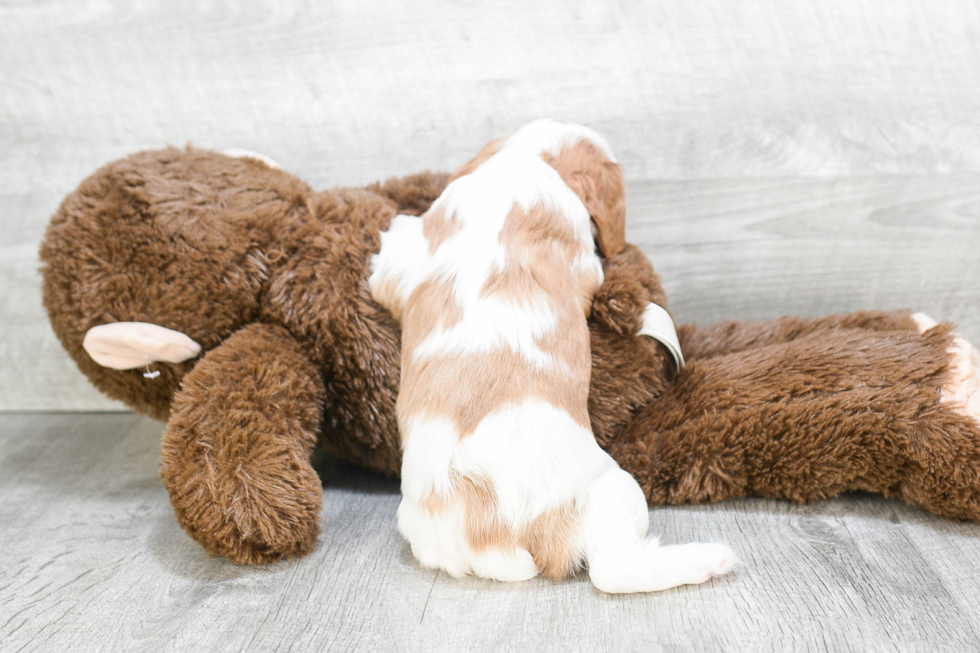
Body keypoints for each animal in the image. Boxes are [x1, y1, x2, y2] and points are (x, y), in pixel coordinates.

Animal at [368, 119, 736, 592]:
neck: (524, 158)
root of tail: (494, 529)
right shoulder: (582, 256)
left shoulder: (399, 257)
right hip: (616, 490)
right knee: (612, 569)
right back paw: (709, 559)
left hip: (426, 534)